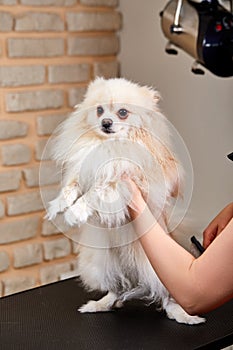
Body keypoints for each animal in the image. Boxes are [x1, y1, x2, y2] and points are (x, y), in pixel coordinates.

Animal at [46, 78, 205, 324]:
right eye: (99, 110)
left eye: (122, 113)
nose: (106, 122)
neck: (110, 144)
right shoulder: (85, 168)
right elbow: (71, 187)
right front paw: (59, 206)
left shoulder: (126, 178)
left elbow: (96, 192)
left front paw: (76, 212)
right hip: (103, 264)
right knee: (117, 290)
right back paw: (101, 304)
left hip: (159, 269)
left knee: (168, 296)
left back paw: (183, 315)